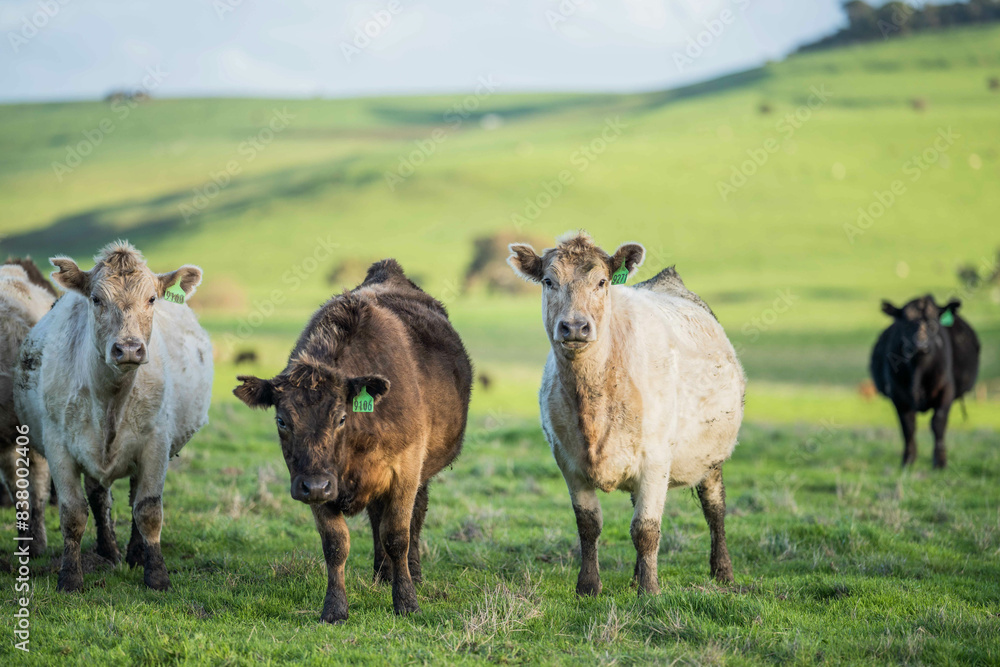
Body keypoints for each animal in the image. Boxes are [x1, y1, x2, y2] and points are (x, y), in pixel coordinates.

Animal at [14, 241, 212, 591]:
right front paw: (70, 577)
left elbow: (148, 510)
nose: (129, 349)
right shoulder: (58, 446)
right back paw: (109, 551)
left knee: (134, 499)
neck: (111, 401)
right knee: (98, 498)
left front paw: (156, 574)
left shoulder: (156, 444)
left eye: (152, 299)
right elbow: (73, 514)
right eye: (96, 299)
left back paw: (135, 554)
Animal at [234, 259, 472, 622]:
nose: (315, 486)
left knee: (414, 518)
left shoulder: (406, 471)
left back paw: (412, 574)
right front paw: (335, 608)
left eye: (341, 418)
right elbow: (336, 545)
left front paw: (406, 600)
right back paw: (381, 574)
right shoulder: (317, 486)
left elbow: (397, 535)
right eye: (282, 420)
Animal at [507, 232, 745, 596]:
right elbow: (589, 524)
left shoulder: (657, 459)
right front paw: (589, 585)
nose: (574, 327)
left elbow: (646, 529)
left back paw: (723, 572)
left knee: (714, 508)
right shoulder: (568, 461)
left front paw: (649, 590)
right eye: (548, 281)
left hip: (712, 455)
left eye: (602, 282)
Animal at [870, 295, 980, 468]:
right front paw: (908, 460)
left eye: (933, 321)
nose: (920, 345)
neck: (919, 372)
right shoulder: (898, 395)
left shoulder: (946, 391)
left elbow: (938, 423)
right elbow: (908, 426)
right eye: (906, 321)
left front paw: (940, 462)